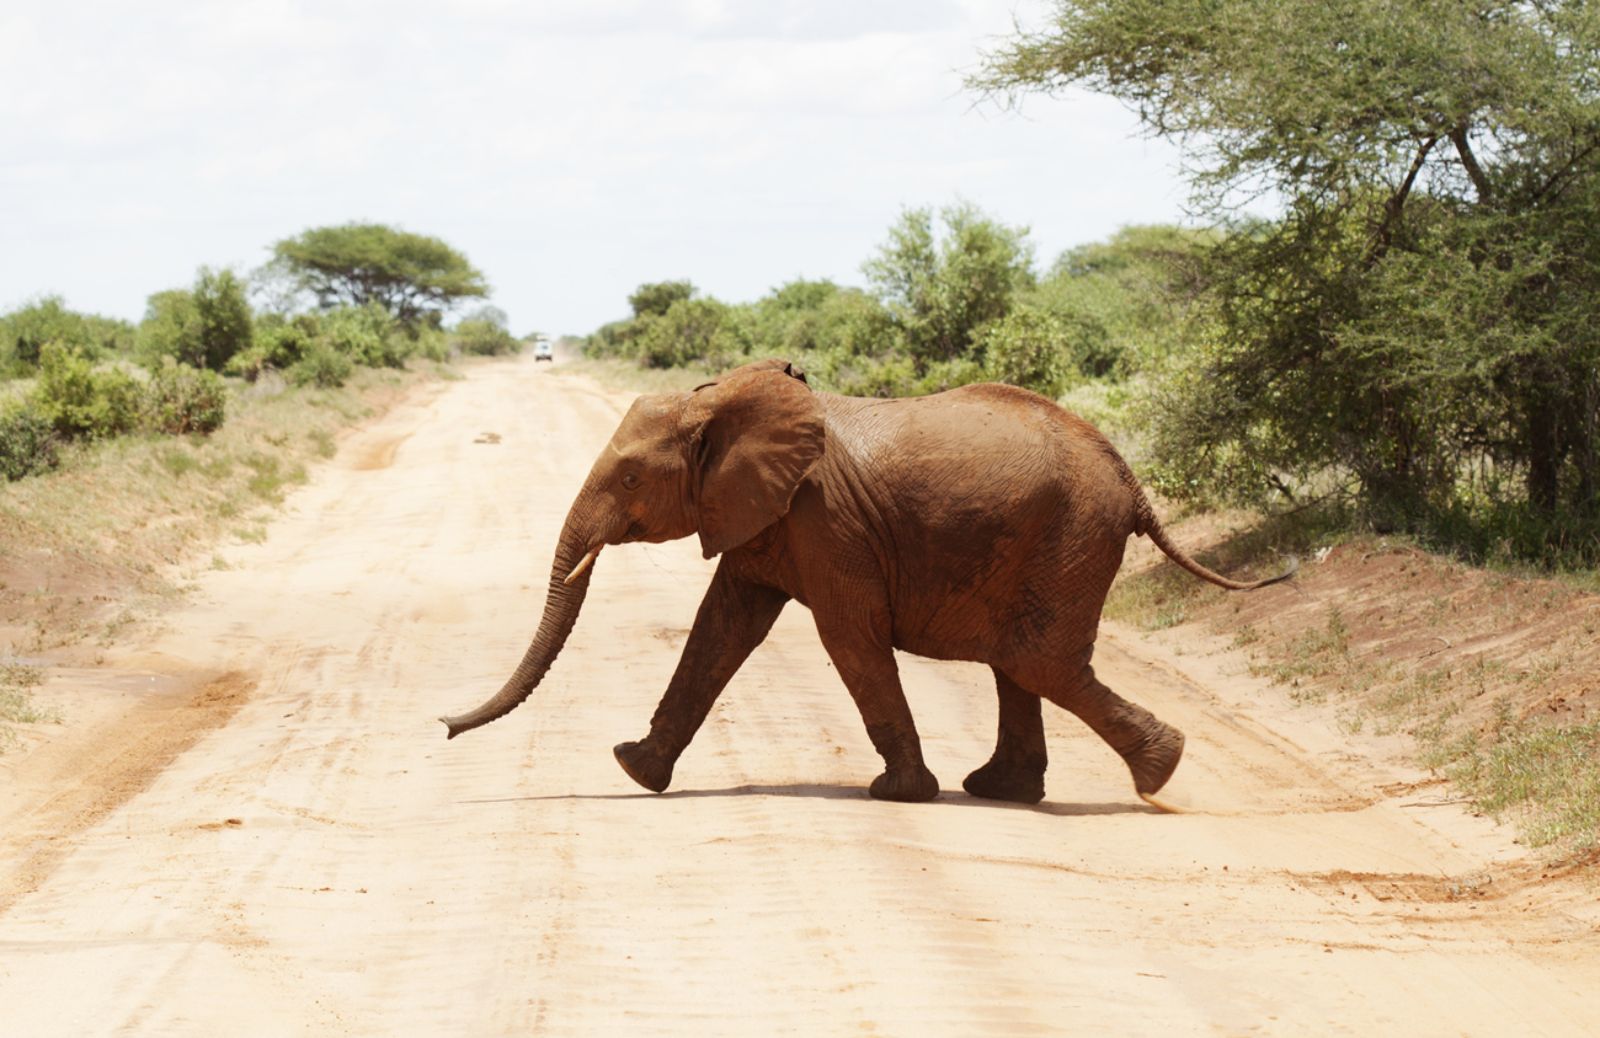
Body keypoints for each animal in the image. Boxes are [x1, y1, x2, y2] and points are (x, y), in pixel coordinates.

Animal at [441, 359, 1299, 806]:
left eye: (626, 477)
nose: (444, 728)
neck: (722, 400)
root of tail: (1131, 477)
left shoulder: (824, 521)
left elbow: (847, 636)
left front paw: (899, 794)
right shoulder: (766, 515)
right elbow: (722, 627)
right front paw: (634, 767)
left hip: (1073, 533)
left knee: (1038, 661)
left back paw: (1158, 772)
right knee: (1019, 662)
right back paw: (1003, 791)